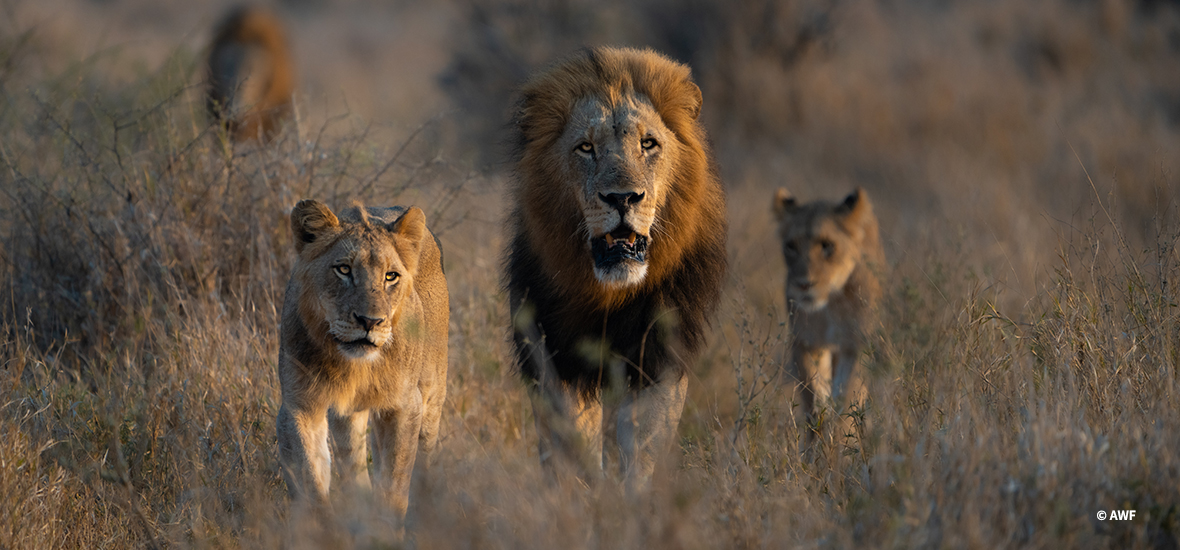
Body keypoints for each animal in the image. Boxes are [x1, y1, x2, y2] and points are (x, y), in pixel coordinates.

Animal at [273, 200, 448, 519]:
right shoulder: (299, 405)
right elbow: (311, 477)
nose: (370, 321)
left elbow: (394, 486)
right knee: (352, 462)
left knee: (424, 460)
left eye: (391, 276)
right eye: (343, 269)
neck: (351, 365)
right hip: (348, 414)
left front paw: (386, 525)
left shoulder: (406, 404)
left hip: (432, 395)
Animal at [502, 45, 722, 488]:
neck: (606, 292)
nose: (623, 198)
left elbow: (640, 447)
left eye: (648, 144)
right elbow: (572, 442)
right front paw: (583, 494)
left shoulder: (656, 358)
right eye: (586, 148)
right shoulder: (554, 356)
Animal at [774, 186, 887, 441]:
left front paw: (842, 442)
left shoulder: (855, 344)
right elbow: (813, 398)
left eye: (827, 245)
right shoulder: (806, 342)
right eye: (791, 246)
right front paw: (817, 442)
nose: (804, 284)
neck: (829, 306)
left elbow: (847, 398)